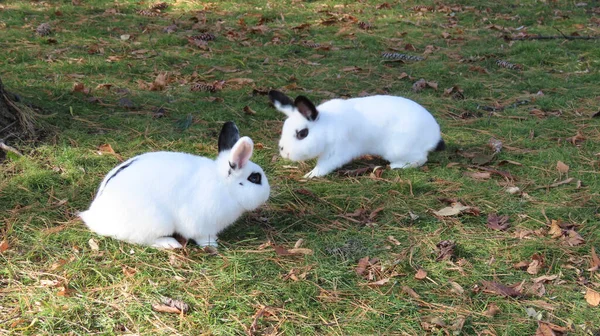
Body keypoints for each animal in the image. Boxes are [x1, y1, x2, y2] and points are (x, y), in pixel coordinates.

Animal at [78, 122, 270, 248]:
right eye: (255, 178)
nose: (268, 193)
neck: (224, 186)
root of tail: (96, 215)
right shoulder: (200, 223)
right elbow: (201, 236)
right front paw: (212, 244)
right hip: (156, 221)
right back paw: (171, 244)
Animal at [270, 89, 442, 178]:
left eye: (302, 133)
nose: (283, 151)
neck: (326, 127)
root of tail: (434, 135)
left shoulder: (336, 152)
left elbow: (323, 166)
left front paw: (310, 175)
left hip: (399, 149)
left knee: (420, 159)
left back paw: (396, 166)